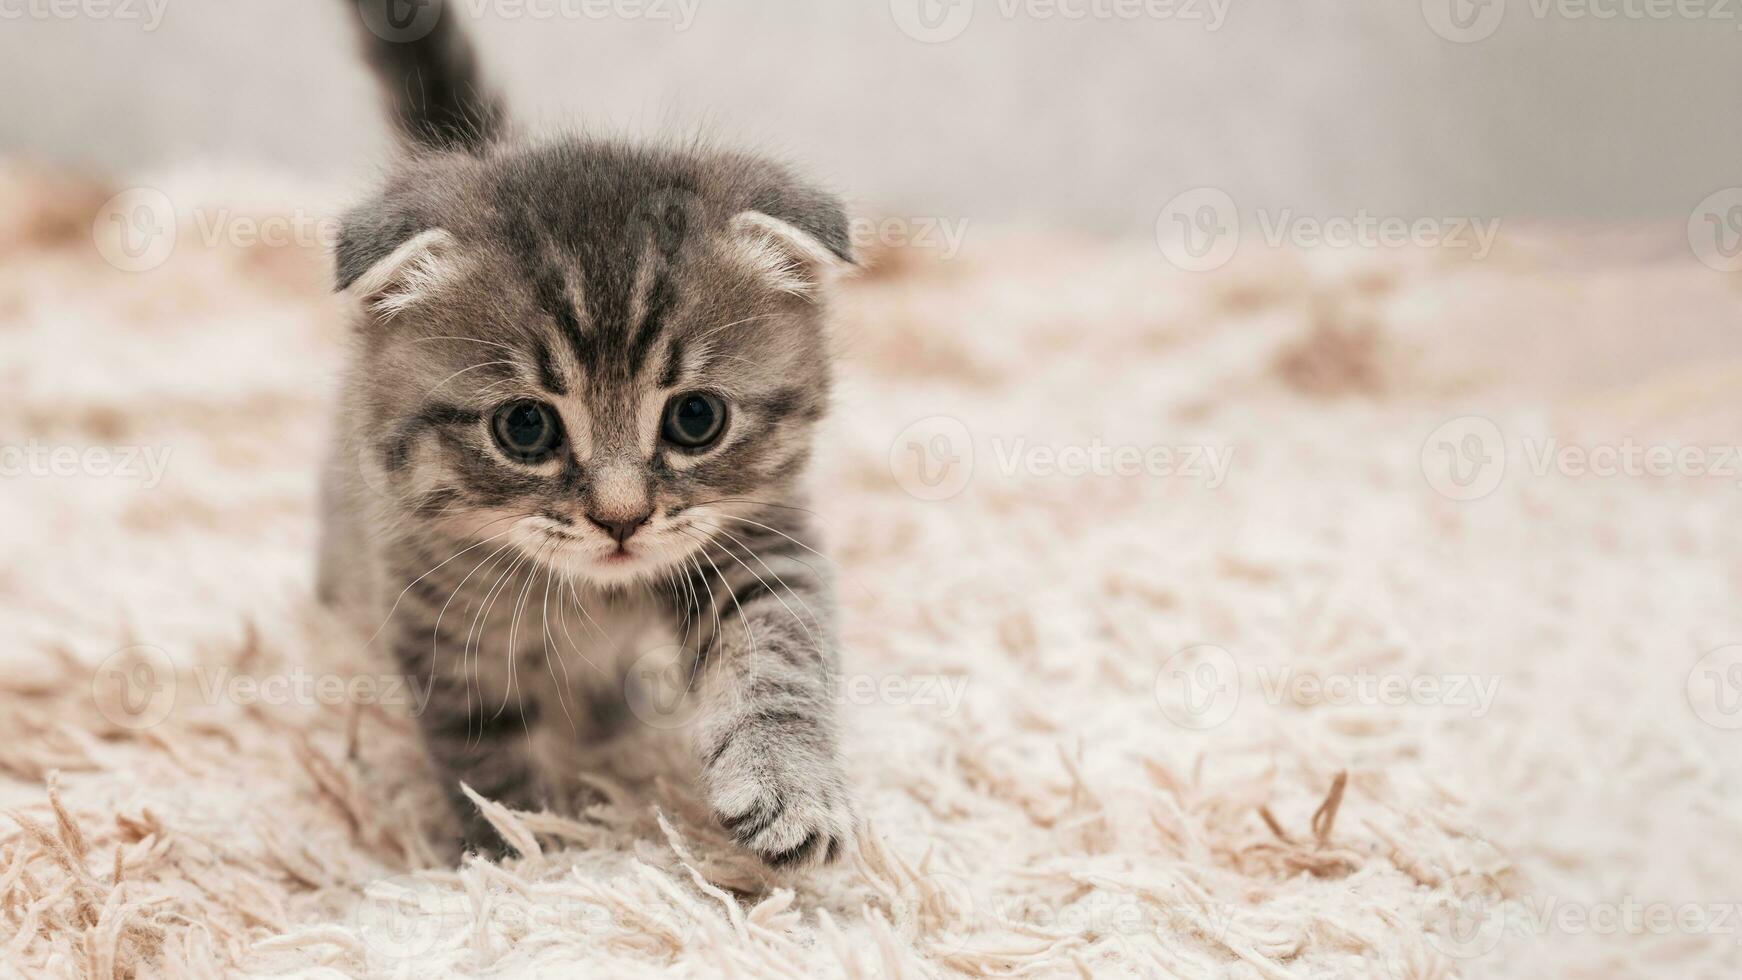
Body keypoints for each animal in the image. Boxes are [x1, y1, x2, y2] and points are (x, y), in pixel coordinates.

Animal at [320, 0, 857, 866]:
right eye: (525, 427)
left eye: (696, 419)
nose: (621, 518)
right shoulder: (437, 611)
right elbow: (483, 749)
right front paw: (525, 850)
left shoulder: (760, 542)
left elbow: (779, 657)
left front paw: (788, 784)